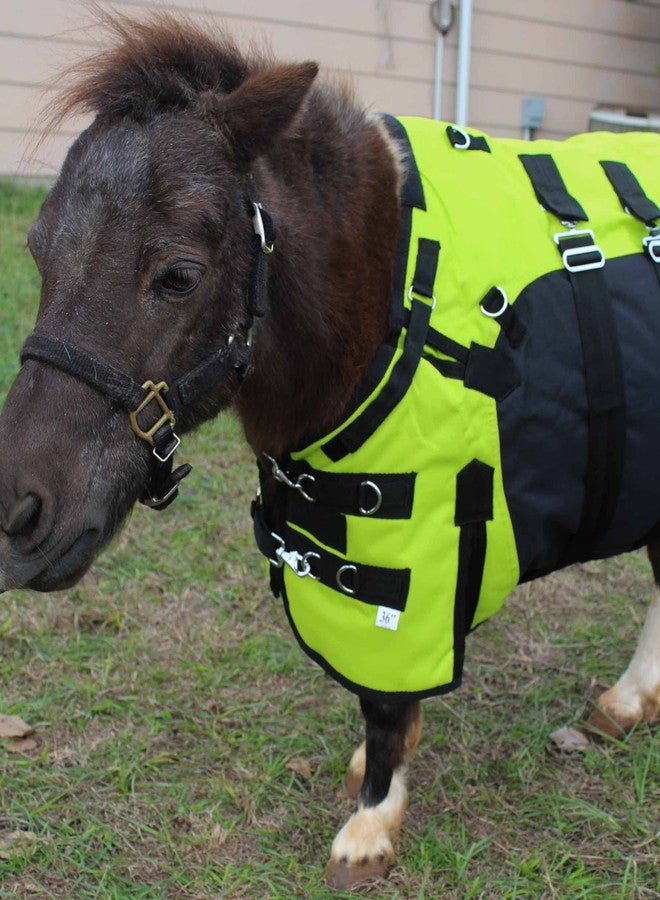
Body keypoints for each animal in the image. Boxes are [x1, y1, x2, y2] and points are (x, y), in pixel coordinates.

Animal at [0, 13, 658, 891]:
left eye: (178, 276)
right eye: (39, 252)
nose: (15, 515)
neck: (383, 292)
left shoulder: (416, 554)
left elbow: (385, 703)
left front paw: (373, 821)